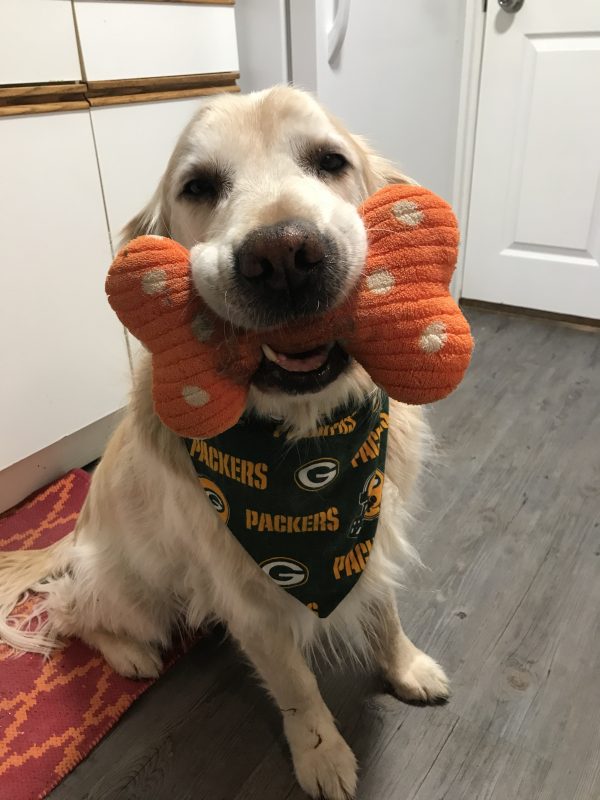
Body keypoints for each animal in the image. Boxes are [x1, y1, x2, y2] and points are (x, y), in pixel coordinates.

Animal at [0, 87, 448, 800]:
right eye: (199, 186)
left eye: (330, 161)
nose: (284, 256)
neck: (303, 441)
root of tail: (76, 536)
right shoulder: (250, 599)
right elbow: (297, 687)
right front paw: (321, 754)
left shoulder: (371, 530)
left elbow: (385, 614)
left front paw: (407, 667)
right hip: (140, 593)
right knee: (71, 612)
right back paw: (129, 653)